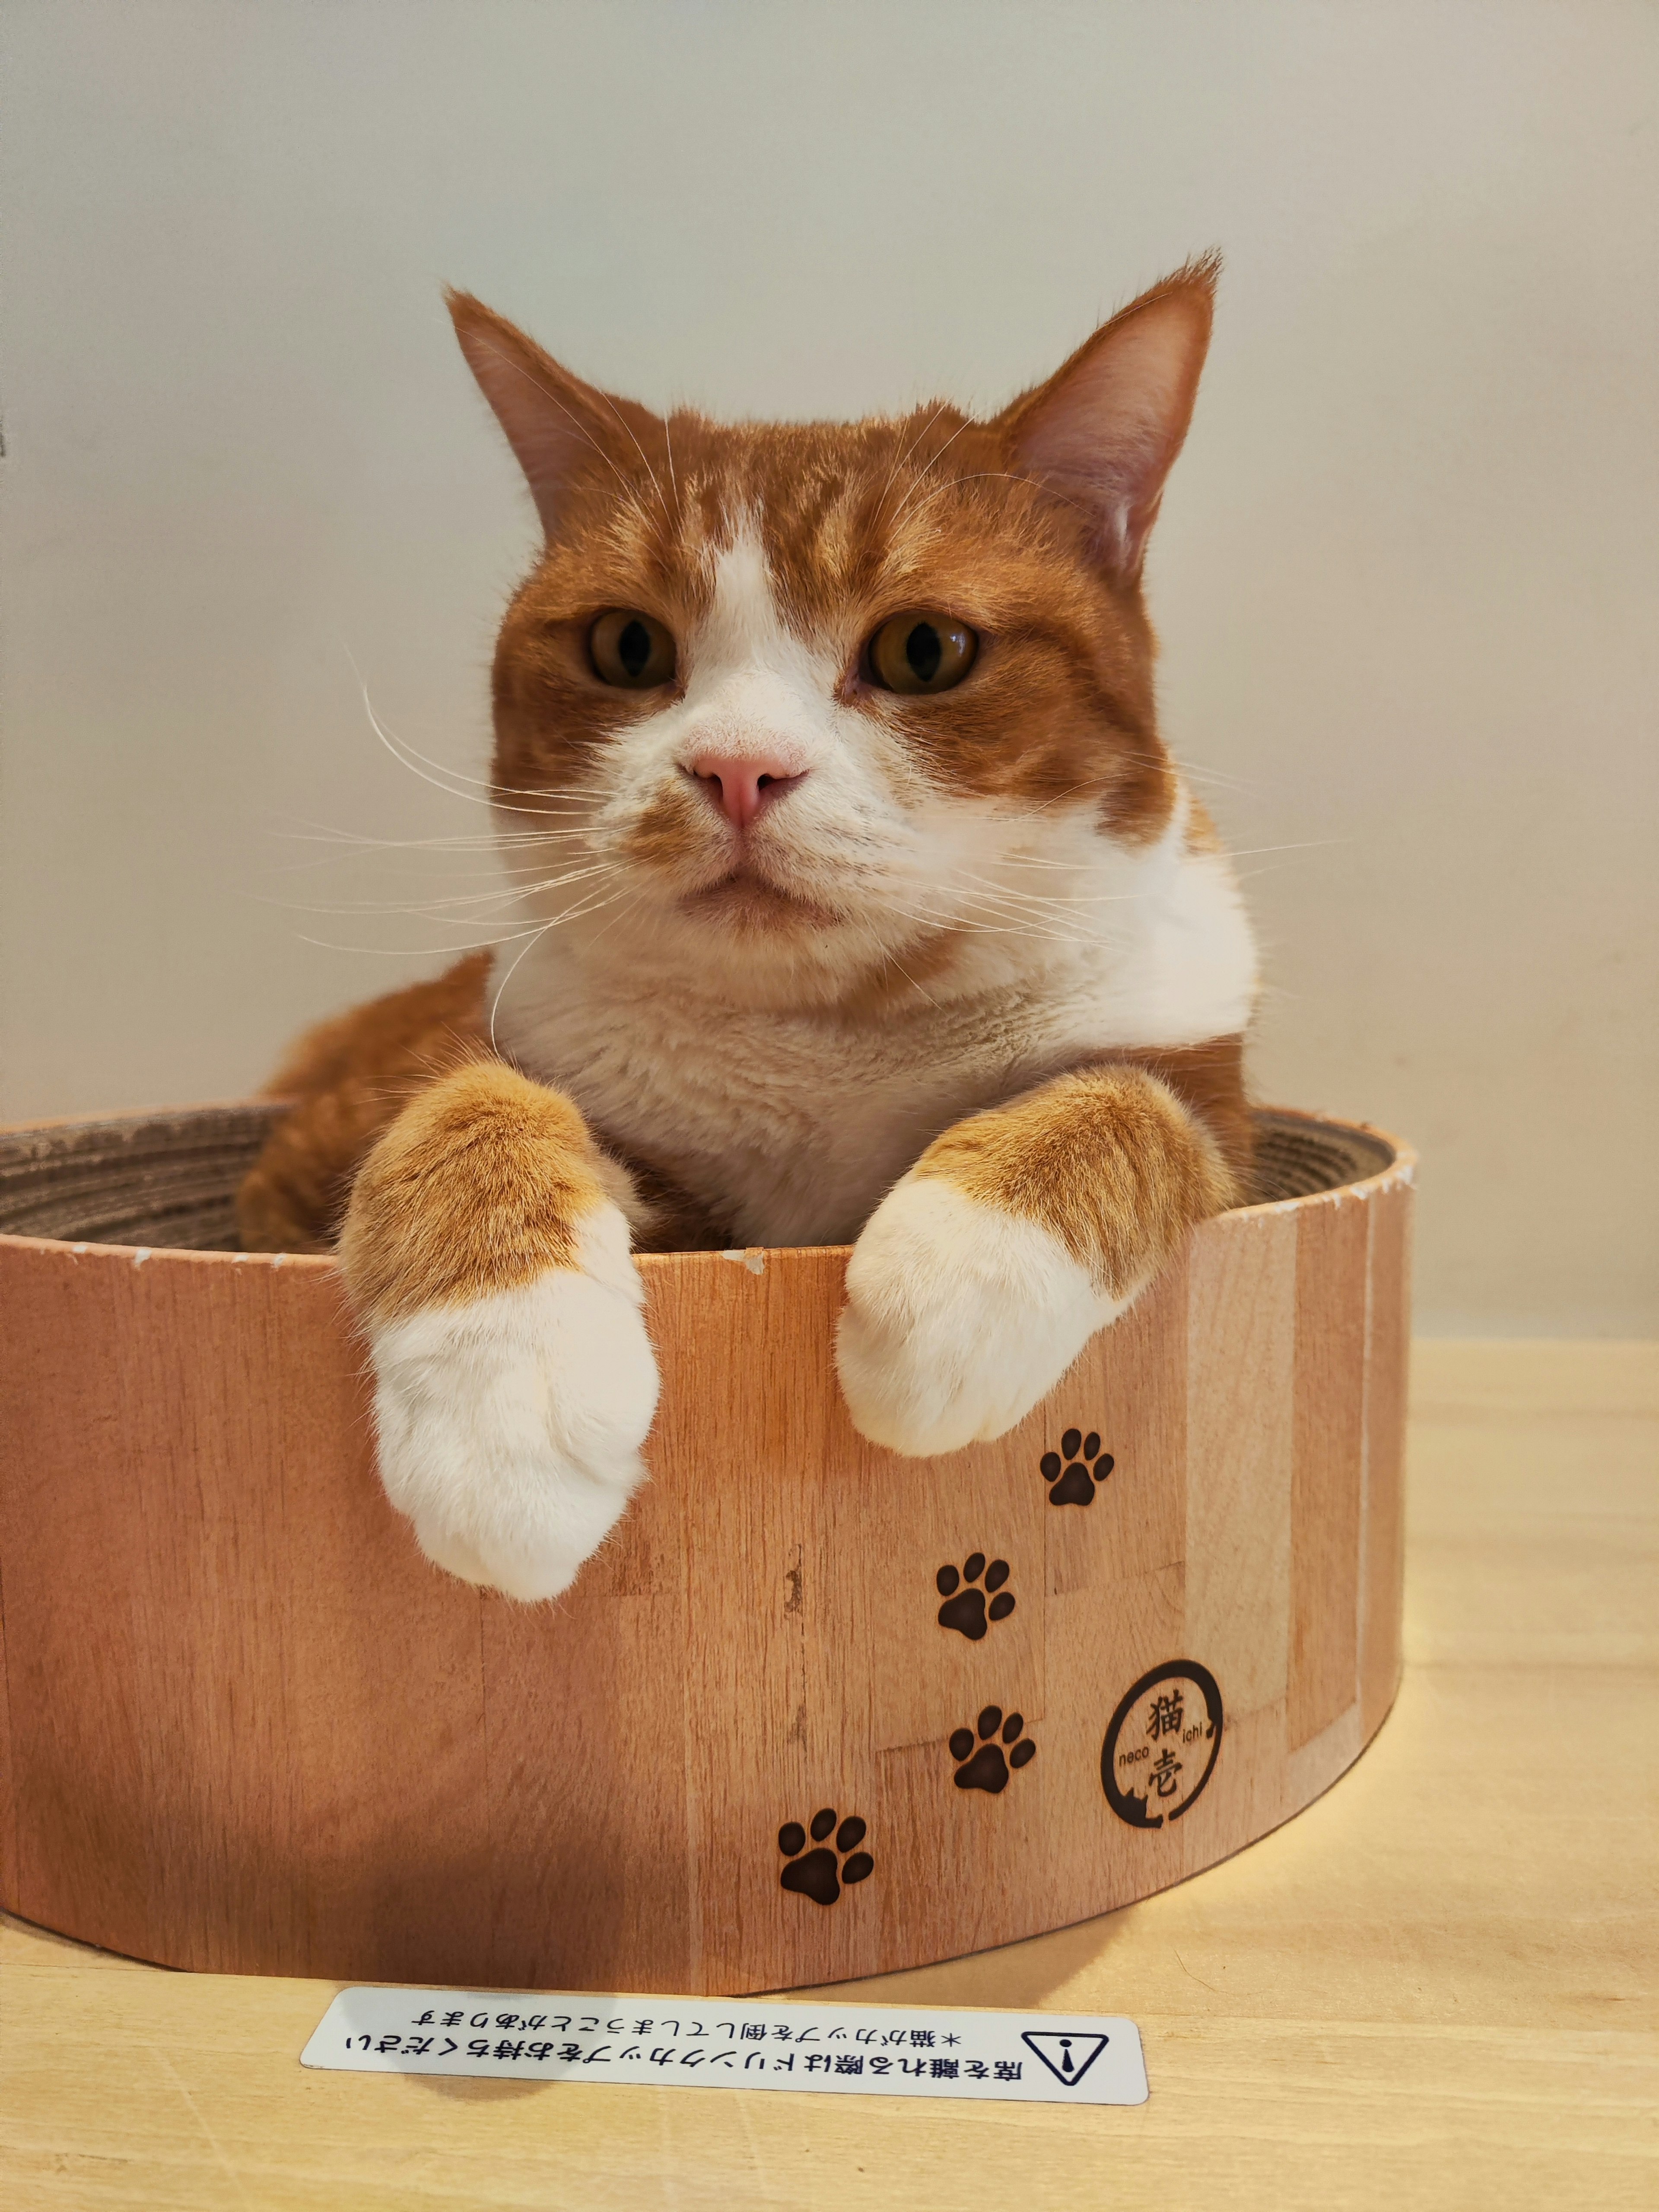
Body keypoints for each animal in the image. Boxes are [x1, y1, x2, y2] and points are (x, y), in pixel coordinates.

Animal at [236, 254, 1256, 1610]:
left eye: (923, 648)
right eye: (627, 645)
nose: (736, 769)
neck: (818, 1041)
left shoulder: (1233, 1116)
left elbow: (1134, 1098)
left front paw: (954, 1283)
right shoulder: (393, 1133)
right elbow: (468, 1098)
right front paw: (502, 1406)